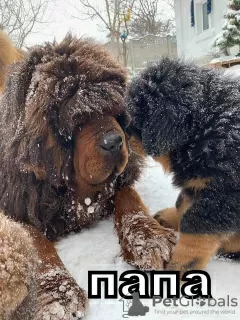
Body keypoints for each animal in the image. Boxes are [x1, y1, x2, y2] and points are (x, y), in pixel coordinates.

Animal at [0, 33, 176, 318]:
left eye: (114, 111)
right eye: (78, 121)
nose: (115, 142)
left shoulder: (121, 179)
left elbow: (129, 198)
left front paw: (149, 237)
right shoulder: (17, 204)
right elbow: (35, 241)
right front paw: (58, 292)